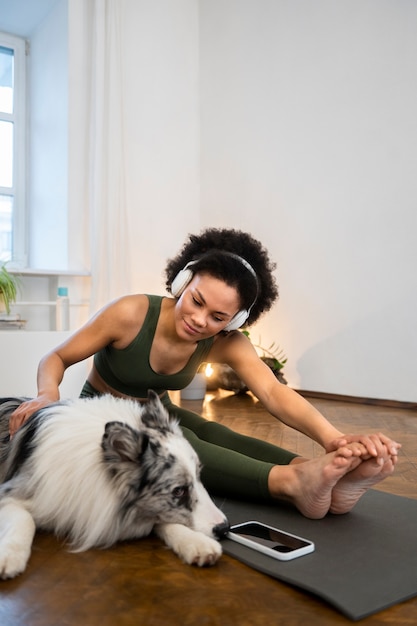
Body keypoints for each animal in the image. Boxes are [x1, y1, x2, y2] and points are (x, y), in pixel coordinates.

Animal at [0, 390, 228, 576]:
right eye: (179, 491)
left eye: (199, 476)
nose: (225, 528)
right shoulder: (13, 492)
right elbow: (25, 520)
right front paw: (10, 555)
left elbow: (163, 520)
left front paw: (196, 543)